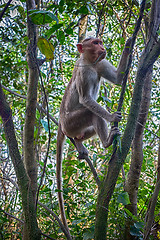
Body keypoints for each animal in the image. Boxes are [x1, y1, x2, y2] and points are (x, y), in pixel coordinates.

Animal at [56, 36, 131, 236]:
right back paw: (107, 142)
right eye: (95, 43)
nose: (102, 47)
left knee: (87, 128)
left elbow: (118, 78)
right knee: (91, 113)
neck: (90, 62)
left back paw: (79, 143)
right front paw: (112, 117)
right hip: (71, 123)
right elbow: (86, 100)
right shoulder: (84, 71)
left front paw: (129, 42)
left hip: (74, 128)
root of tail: (60, 122)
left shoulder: (100, 63)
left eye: (100, 42)